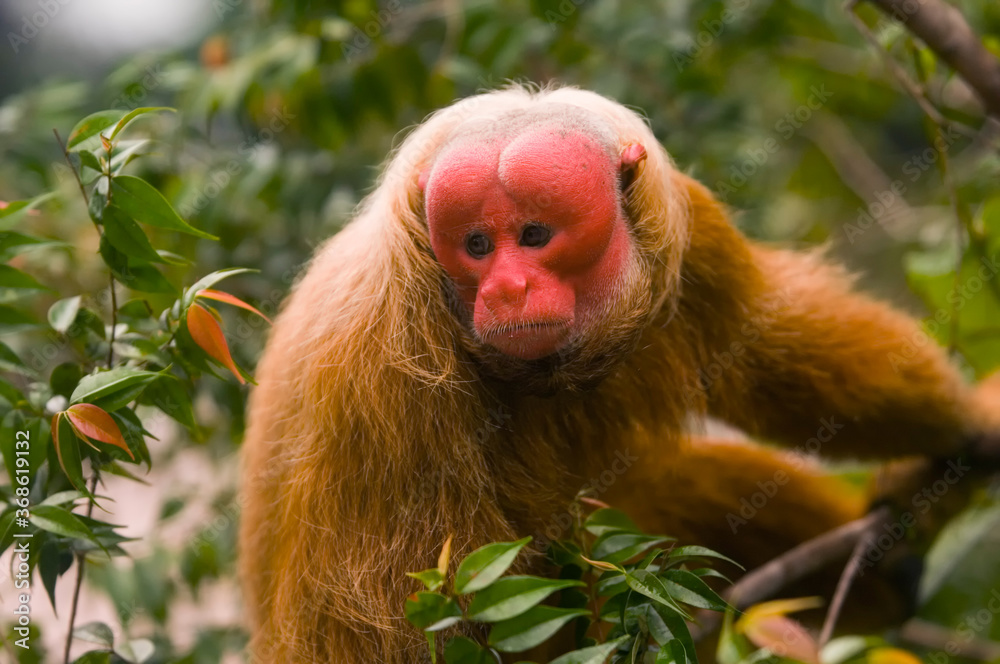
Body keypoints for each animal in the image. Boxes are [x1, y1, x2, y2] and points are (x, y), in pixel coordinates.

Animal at [238, 85, 999, 663]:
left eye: (534, 235)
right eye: (477, 245)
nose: (507, 289)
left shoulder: (684, 224)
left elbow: (762, 356)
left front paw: (971, 425)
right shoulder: (379, 372)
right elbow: (391, 625)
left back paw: (888, 571)